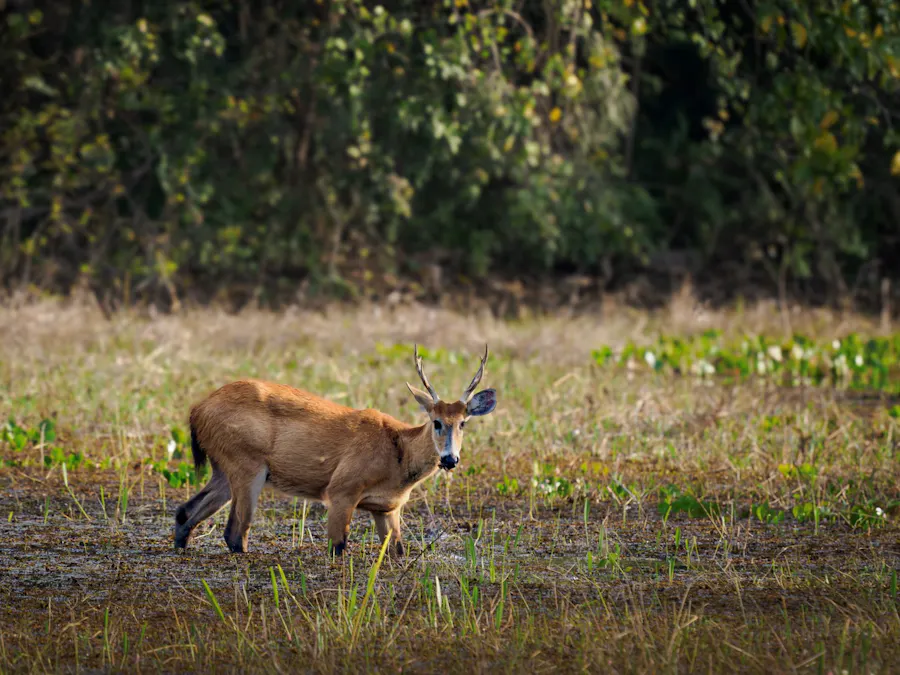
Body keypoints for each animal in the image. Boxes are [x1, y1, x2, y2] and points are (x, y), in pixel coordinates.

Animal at [173, 345, 497, 558]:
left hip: (224, 468)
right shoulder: (341, 489)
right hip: (247, 464)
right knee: (235, 533)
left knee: (185, 511)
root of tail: (197, 410)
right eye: (436, 421)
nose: (450, 459)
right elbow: (338, 547)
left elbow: (398, 550)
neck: (399, 457)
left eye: (464, 422)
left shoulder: (388, 508)